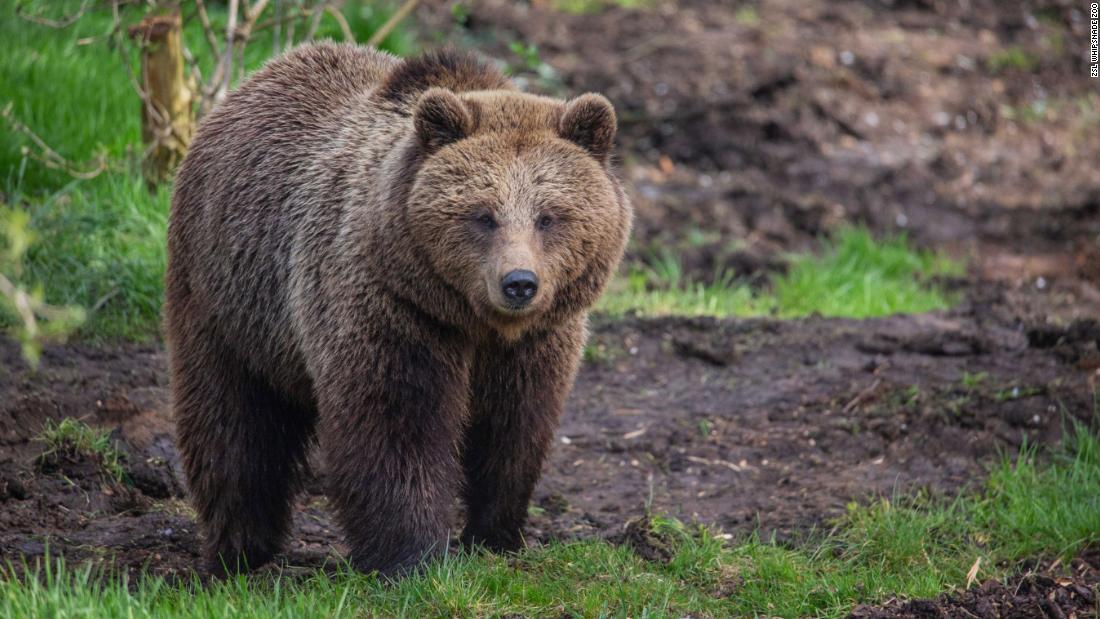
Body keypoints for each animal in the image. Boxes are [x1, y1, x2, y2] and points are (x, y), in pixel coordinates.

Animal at [161, 44, 629, 576]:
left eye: (549, 216)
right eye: (482, 215)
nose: (519, 284)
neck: (473, 320)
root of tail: (256, 79)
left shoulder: (536, 343)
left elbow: (513, 431)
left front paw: (496, 535)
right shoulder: (394, 310)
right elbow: (396, 424)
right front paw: (412, 556)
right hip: (228, 296)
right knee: (231, 422)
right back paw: (239, 548)